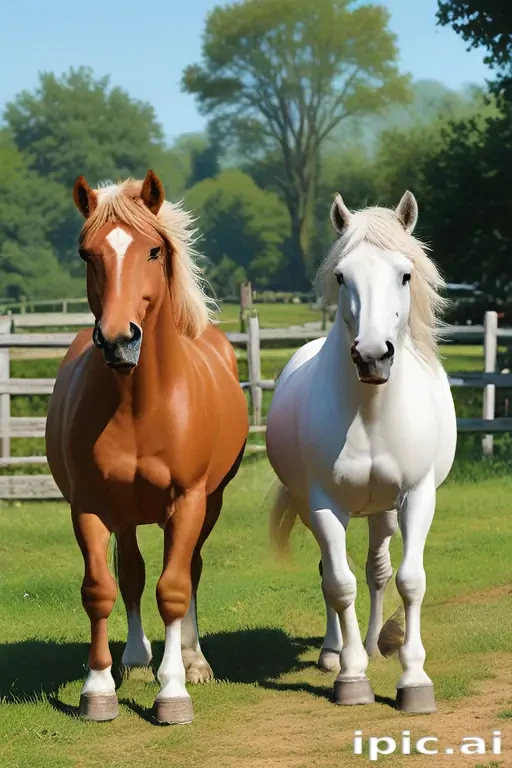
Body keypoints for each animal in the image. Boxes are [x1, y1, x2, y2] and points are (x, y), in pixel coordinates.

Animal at [45, 170, 248, 725]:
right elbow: (102, 589)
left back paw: (193, 661)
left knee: (190, 571)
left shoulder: (190, 501)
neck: (139, 407)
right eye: (86, 253)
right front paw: (97, 690)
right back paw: (136, 662)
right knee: (132, 575)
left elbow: (174, 589)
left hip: (210, 503)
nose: (118, 340)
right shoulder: (90, 506)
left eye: (154, 251)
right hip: (126, 513)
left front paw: (174, 690)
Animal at [266, 191, 456, 713]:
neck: (371, 414)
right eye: (340, 276)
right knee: (334, 575)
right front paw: (351, 677)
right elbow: (338, 583)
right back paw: (335, 652)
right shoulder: (323, 505)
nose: (373, 355)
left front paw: (414, 680)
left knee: (377, 571)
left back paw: (372, 645)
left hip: (383, 512)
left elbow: (408, 580)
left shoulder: (417, 498)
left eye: (405, 274)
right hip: (319, 509)